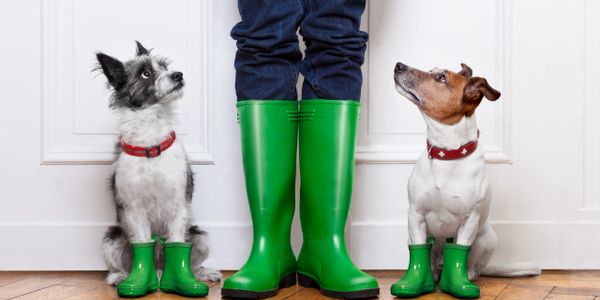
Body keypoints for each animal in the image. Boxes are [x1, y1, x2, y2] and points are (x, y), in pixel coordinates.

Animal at [394, 62, 540, 290]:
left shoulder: (469, 221)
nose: (398, 65)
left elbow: (461, 250)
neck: (447, 155)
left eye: (441, 78)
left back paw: (467, 276)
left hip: (487, 238)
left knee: (473, 266)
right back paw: (434, 275)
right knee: (431, 260)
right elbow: (419, 249)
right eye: (431, 70)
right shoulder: (415, 215)